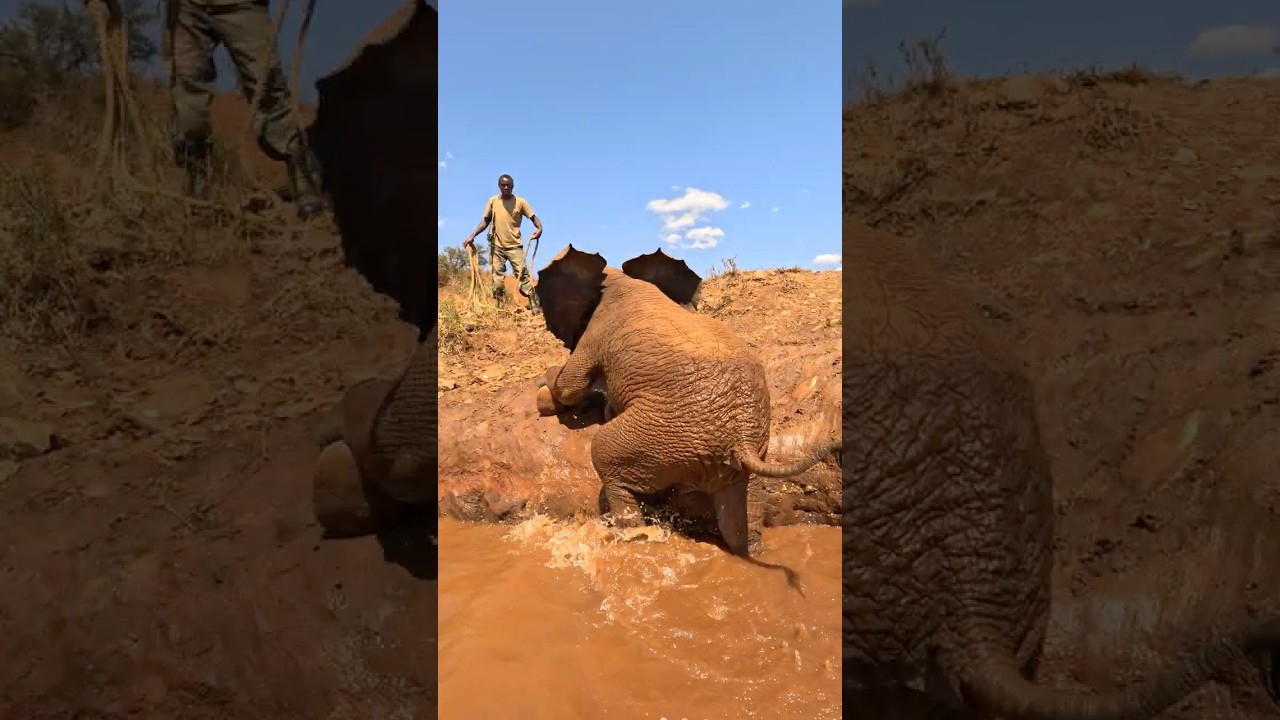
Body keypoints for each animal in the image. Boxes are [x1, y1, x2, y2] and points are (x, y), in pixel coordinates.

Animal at [533, 244, 841, 559]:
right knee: (741, 520)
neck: (620, 278)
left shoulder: (597, 330)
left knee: (605, 456)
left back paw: (633, 537)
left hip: (662, 435)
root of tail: (742, 440)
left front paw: (544, 389)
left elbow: (570, 386)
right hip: (738, 458)